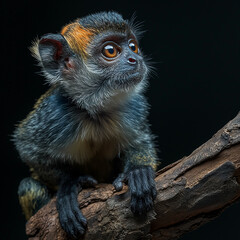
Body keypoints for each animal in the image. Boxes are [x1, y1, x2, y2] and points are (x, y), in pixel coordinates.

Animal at [14, 11, 158, 238]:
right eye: (110, 51)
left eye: (133, 46)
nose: (136, 59)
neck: (95, 112)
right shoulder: (53, 115)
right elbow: (27, 148)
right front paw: (69, 185)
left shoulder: (134, 107)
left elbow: (141, 140)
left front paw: (138, 171)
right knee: (28, 186)